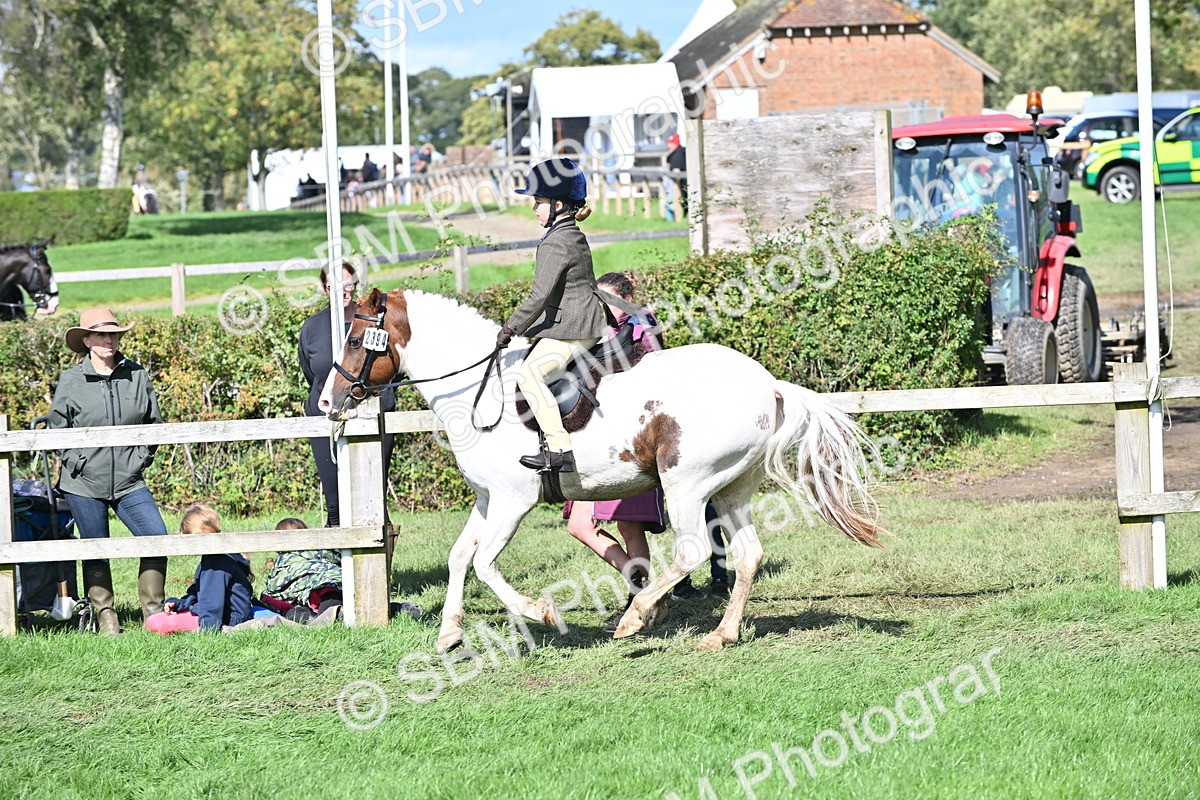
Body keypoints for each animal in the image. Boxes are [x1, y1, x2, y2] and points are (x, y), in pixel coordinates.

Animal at [319, 289, 885, 653]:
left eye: (355, 341)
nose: (328, 402)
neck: (480, 391)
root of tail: (767, 383)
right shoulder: (488, 499)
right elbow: (461, 557)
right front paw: (449, 633)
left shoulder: (514, 500)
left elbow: (483, 564)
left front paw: (541, 612)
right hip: (730, 489)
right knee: (747, 555)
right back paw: (719, 635)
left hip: (686, 483)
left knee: (693, 551)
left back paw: (635, 618)